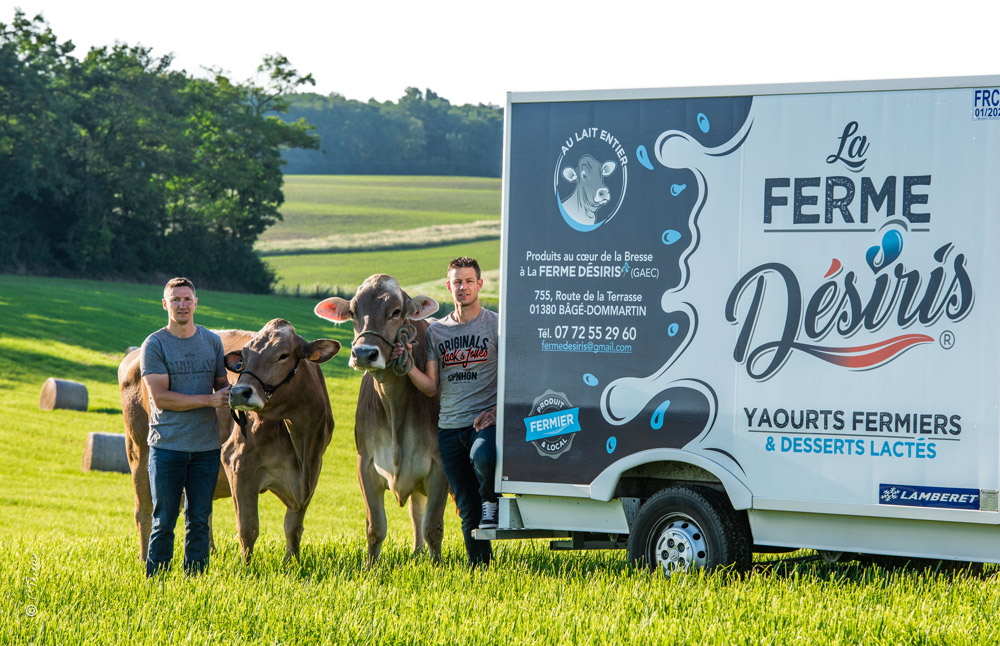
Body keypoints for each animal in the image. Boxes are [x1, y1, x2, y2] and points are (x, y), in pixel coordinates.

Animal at [118, 322, 340, 564]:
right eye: (244, 358)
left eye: (283, 355)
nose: (239, 392)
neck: (300, 440)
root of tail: (136, 354)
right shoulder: (238, 462)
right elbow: (248, 527)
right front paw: (246, 568)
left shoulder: (310, 474)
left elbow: (293, 529)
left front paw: (293, 565)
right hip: (139, 451)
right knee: (144, 510)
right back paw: (143, 559)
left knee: (198, 510)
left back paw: (209, 553)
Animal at [316, 276, 450, 564]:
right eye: (353, 312)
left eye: (396, 312)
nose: (364, 354)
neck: (394, 406)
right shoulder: (366, 462)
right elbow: (375, 526)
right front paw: (370, 567)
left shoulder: (439, 465)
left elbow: (433, 527)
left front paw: (437, 567)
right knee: (416, 510)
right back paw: (417, 553)